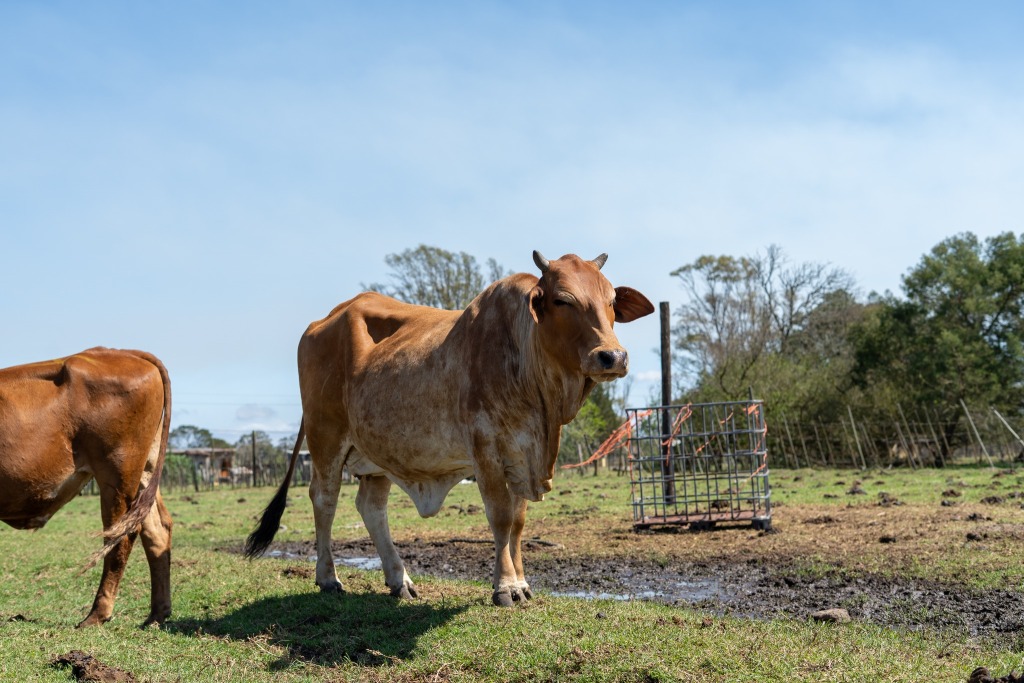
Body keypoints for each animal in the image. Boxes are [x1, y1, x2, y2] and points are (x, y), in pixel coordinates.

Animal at [0, 347, 172, 627]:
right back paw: (157, 614)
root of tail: (122, 352)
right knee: (157, 532)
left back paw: (96, 615)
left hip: (117, 472)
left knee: (120, 537)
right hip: (145, 471)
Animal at [245, 251, 654, 606]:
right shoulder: (486, 448)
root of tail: (323, 321)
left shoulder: (522, 455)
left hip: (377, 452)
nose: (612, 356)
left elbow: (519, 522)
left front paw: (522, 582)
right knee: (324, 500)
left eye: (612, 300)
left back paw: (399, 580)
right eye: (563, 300)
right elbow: (501, 516)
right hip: (325, 438)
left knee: (371, 507)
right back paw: (328, 577)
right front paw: (506, 586)